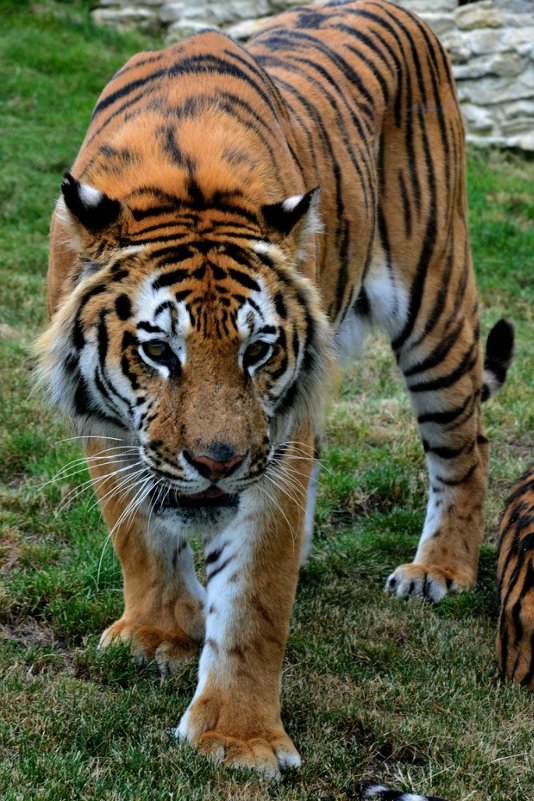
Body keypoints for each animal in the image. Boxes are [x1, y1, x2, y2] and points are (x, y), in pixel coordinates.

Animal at [35, 0, 516, 780]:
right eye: (157, 350)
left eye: (257, 350)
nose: (218, 462)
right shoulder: (106, 425)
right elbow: (138, 533)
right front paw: (160, 633)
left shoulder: (273, 446)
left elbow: (253, 597)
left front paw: (239, 738)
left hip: (435, 301)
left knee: (464, 449)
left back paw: (437, 570)